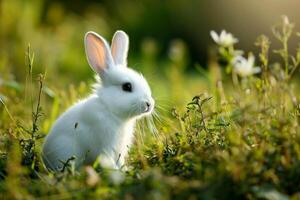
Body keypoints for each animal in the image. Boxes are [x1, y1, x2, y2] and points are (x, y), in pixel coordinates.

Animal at [42, 30, 155, 171]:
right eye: (127, 86)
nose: (149, 104)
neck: (110, 109)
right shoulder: (105, 146)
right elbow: (107, 161)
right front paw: (117, 171)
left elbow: (120, 161)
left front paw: (125, 169)